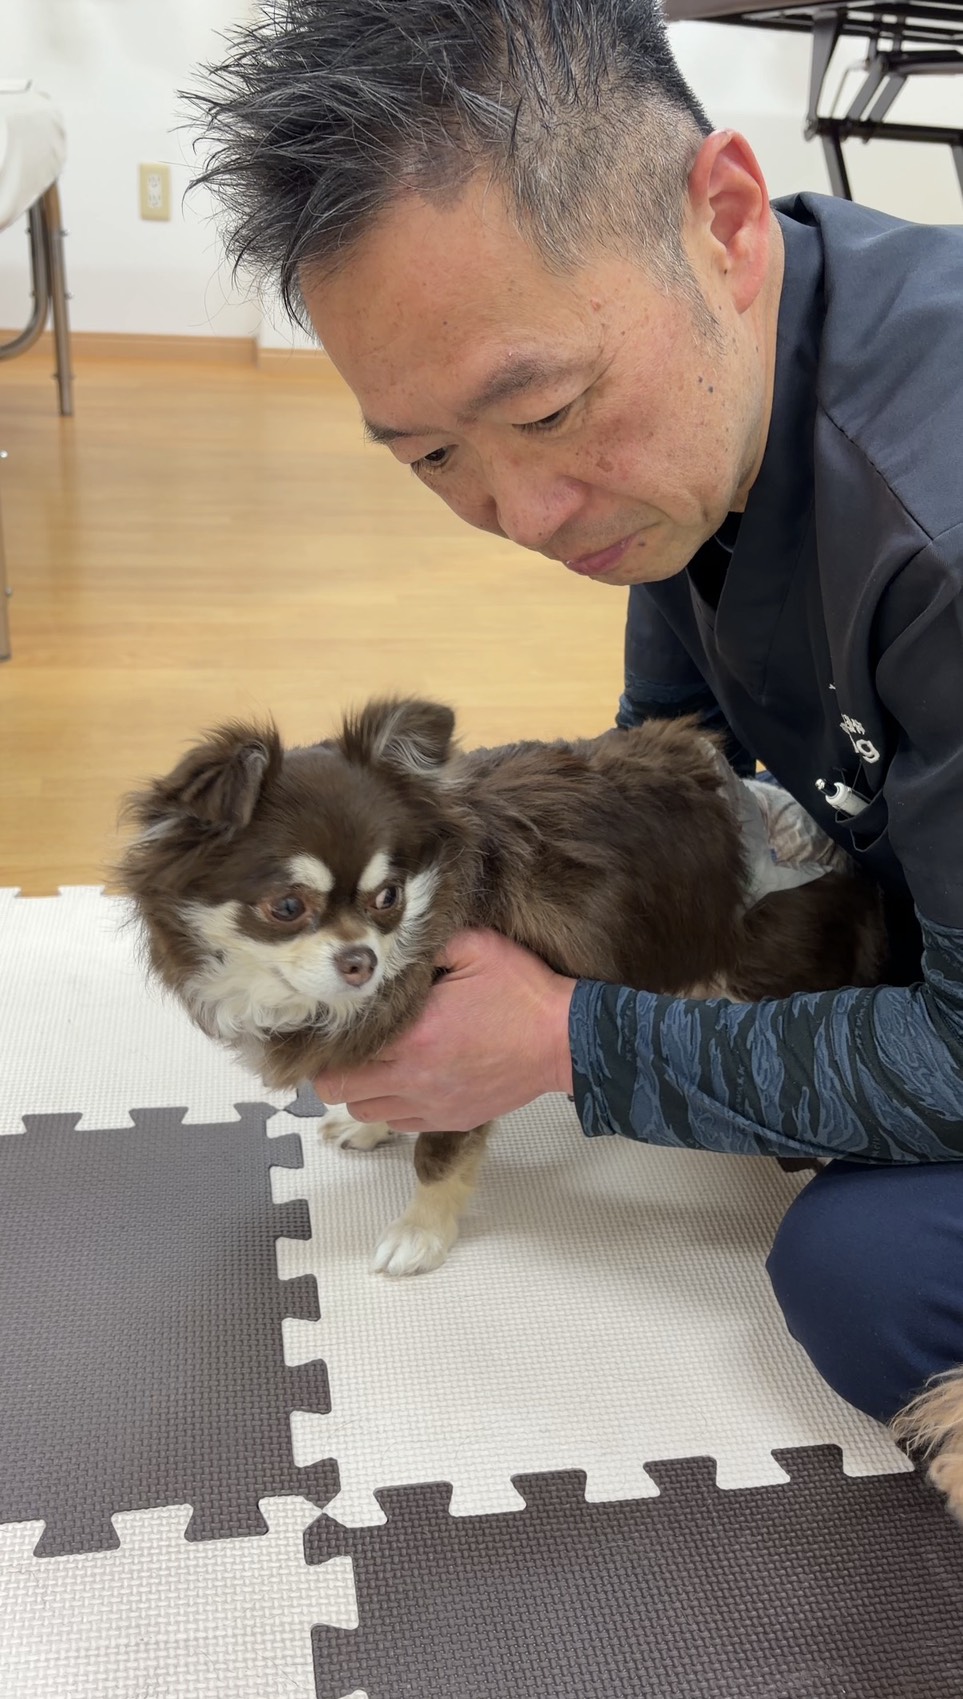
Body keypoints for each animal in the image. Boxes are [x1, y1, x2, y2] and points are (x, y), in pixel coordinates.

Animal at [116, 695, 887, 1282]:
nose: (363, 960)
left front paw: (420, 1234)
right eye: (286, 907)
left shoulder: (458, 1056)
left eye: (388, 897)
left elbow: (438, 1155)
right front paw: (370, 1122)